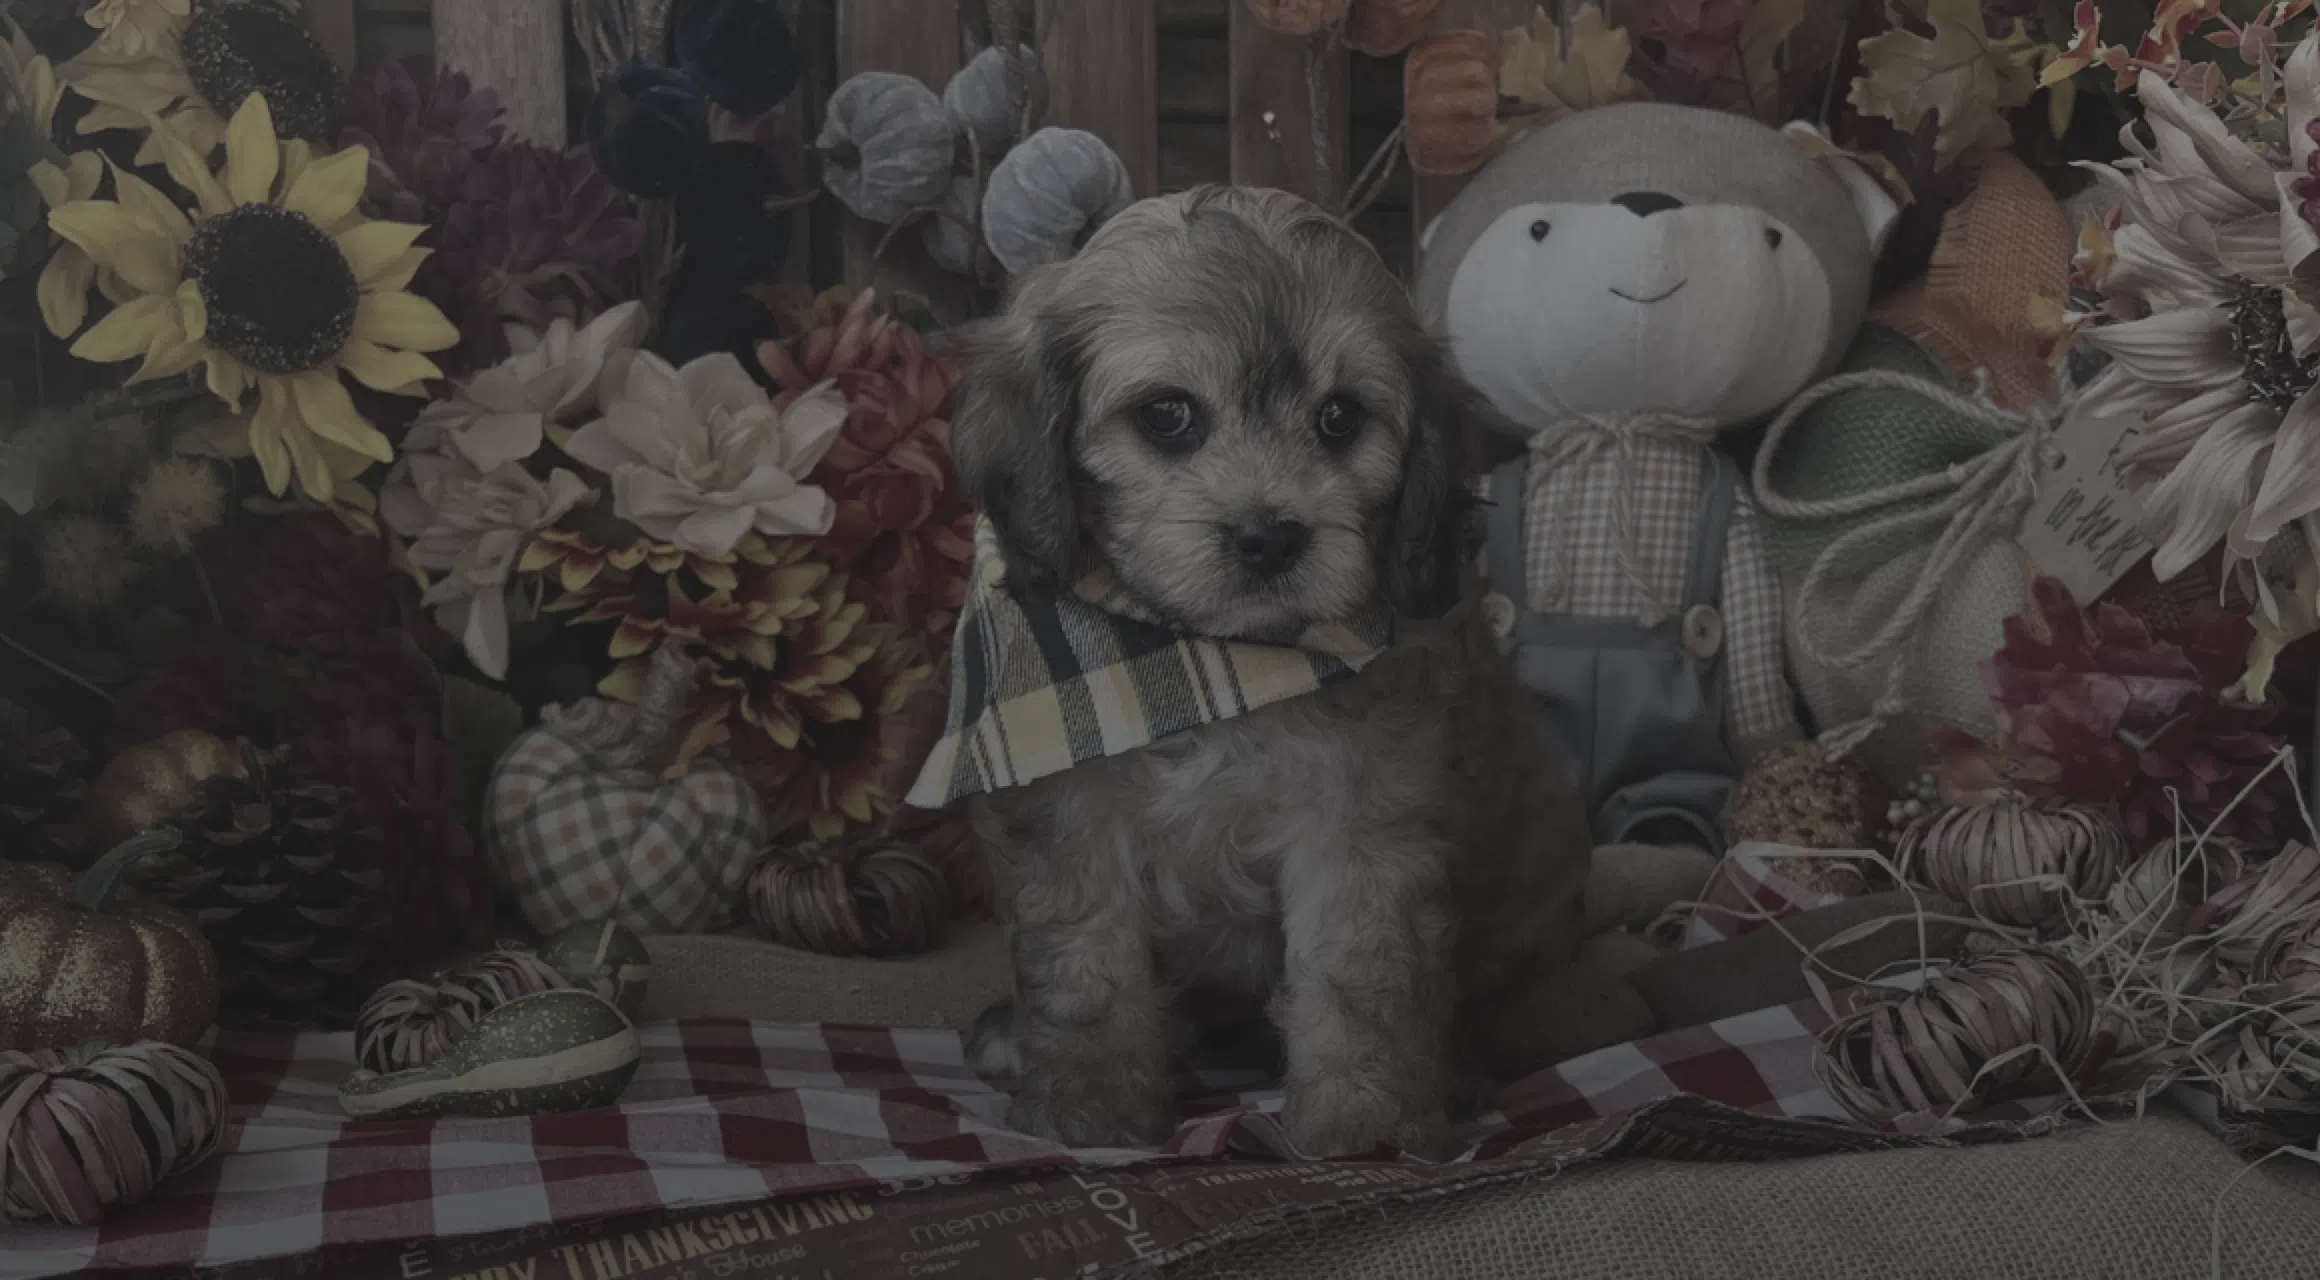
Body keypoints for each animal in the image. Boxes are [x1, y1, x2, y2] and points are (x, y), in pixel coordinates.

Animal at [951, 185, 1624, 1154]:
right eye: (1168, 415)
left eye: (1340, 418)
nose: (1268, 537)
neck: (1212, 659)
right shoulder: (1069, 816)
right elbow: (1085, 962)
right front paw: (1091, 1106)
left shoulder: (1361, 822)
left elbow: (1359, 971)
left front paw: (1366, 1118)